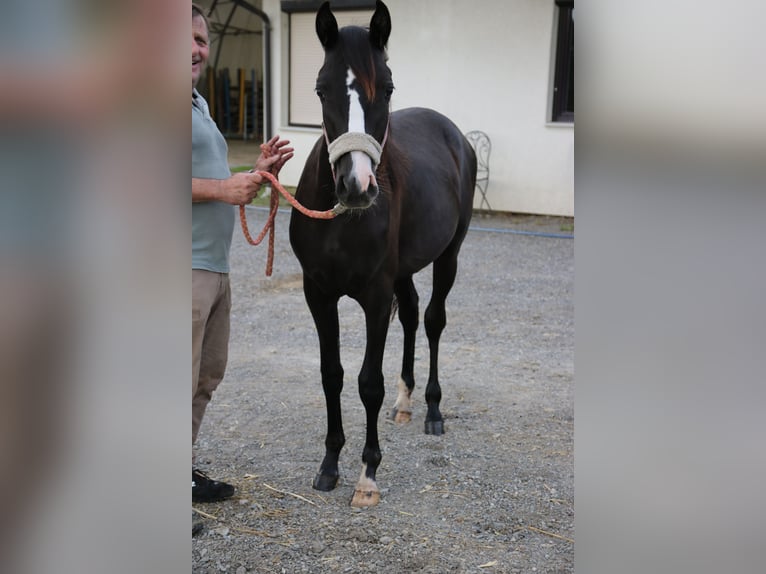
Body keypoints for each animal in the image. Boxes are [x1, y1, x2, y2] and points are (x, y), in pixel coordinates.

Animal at [292, 0, 476, 508]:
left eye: (388, 87)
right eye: (321, 88)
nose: (356, 187)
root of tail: (453, 133)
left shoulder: (375, 297)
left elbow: (367, 383)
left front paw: (367, 474)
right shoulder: (318, 294)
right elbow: (331, 375)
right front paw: (330, 464)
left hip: (448, 255)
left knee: (431, 320)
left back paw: (432, 409)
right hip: (404, 269)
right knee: (411, 314)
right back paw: (406, 401)